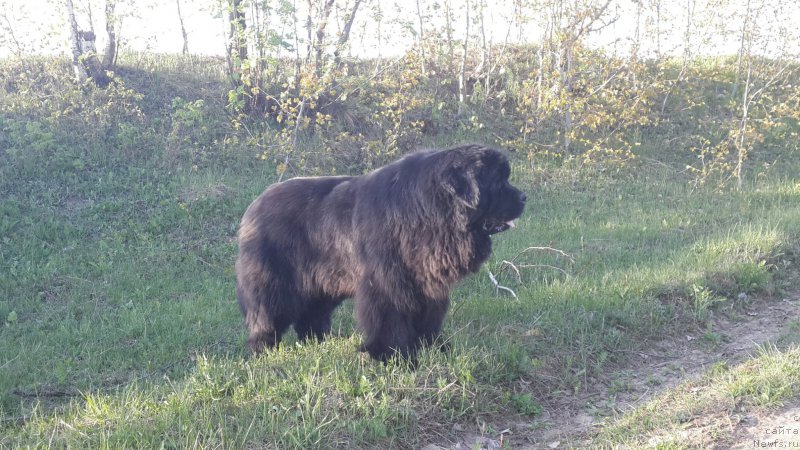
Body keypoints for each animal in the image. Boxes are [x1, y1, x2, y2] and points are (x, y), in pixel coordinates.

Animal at [236, 146, 524, 360]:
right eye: (499, 182)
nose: (524, 197)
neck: (429, 212)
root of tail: (254, 206)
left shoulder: (427, 284)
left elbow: (429, 317)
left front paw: (433, 347)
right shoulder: (387, 282)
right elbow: (388, 319)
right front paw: (390, 355)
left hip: (323, 283)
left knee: (312, 316)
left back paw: (320, 342)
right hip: (275, 284)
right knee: (267, 316)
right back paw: (263, 351)